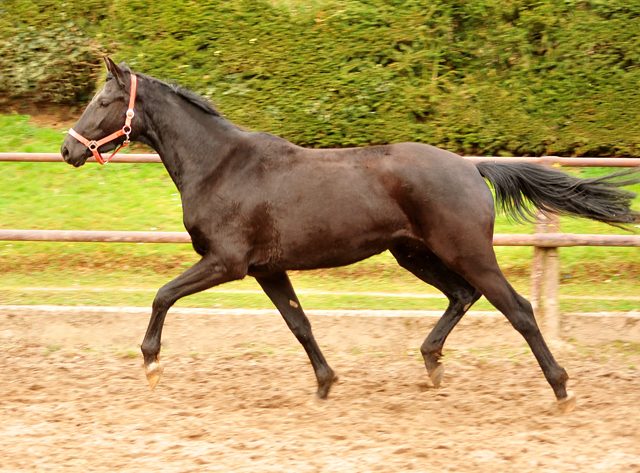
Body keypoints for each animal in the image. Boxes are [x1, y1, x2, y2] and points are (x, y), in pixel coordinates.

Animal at [61, 57, 640, 412]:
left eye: (103, 101)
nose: (68, 150)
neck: (221, 166)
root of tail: (471, 167)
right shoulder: (268, 269)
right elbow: (300, 325)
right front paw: (325, 384)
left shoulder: (227, 262)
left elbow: (162, 295)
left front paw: (152, 364)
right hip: (413, 253)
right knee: (462, 295)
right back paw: (431, 364)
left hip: (466, 251)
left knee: (516, 308)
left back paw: (561, 389)